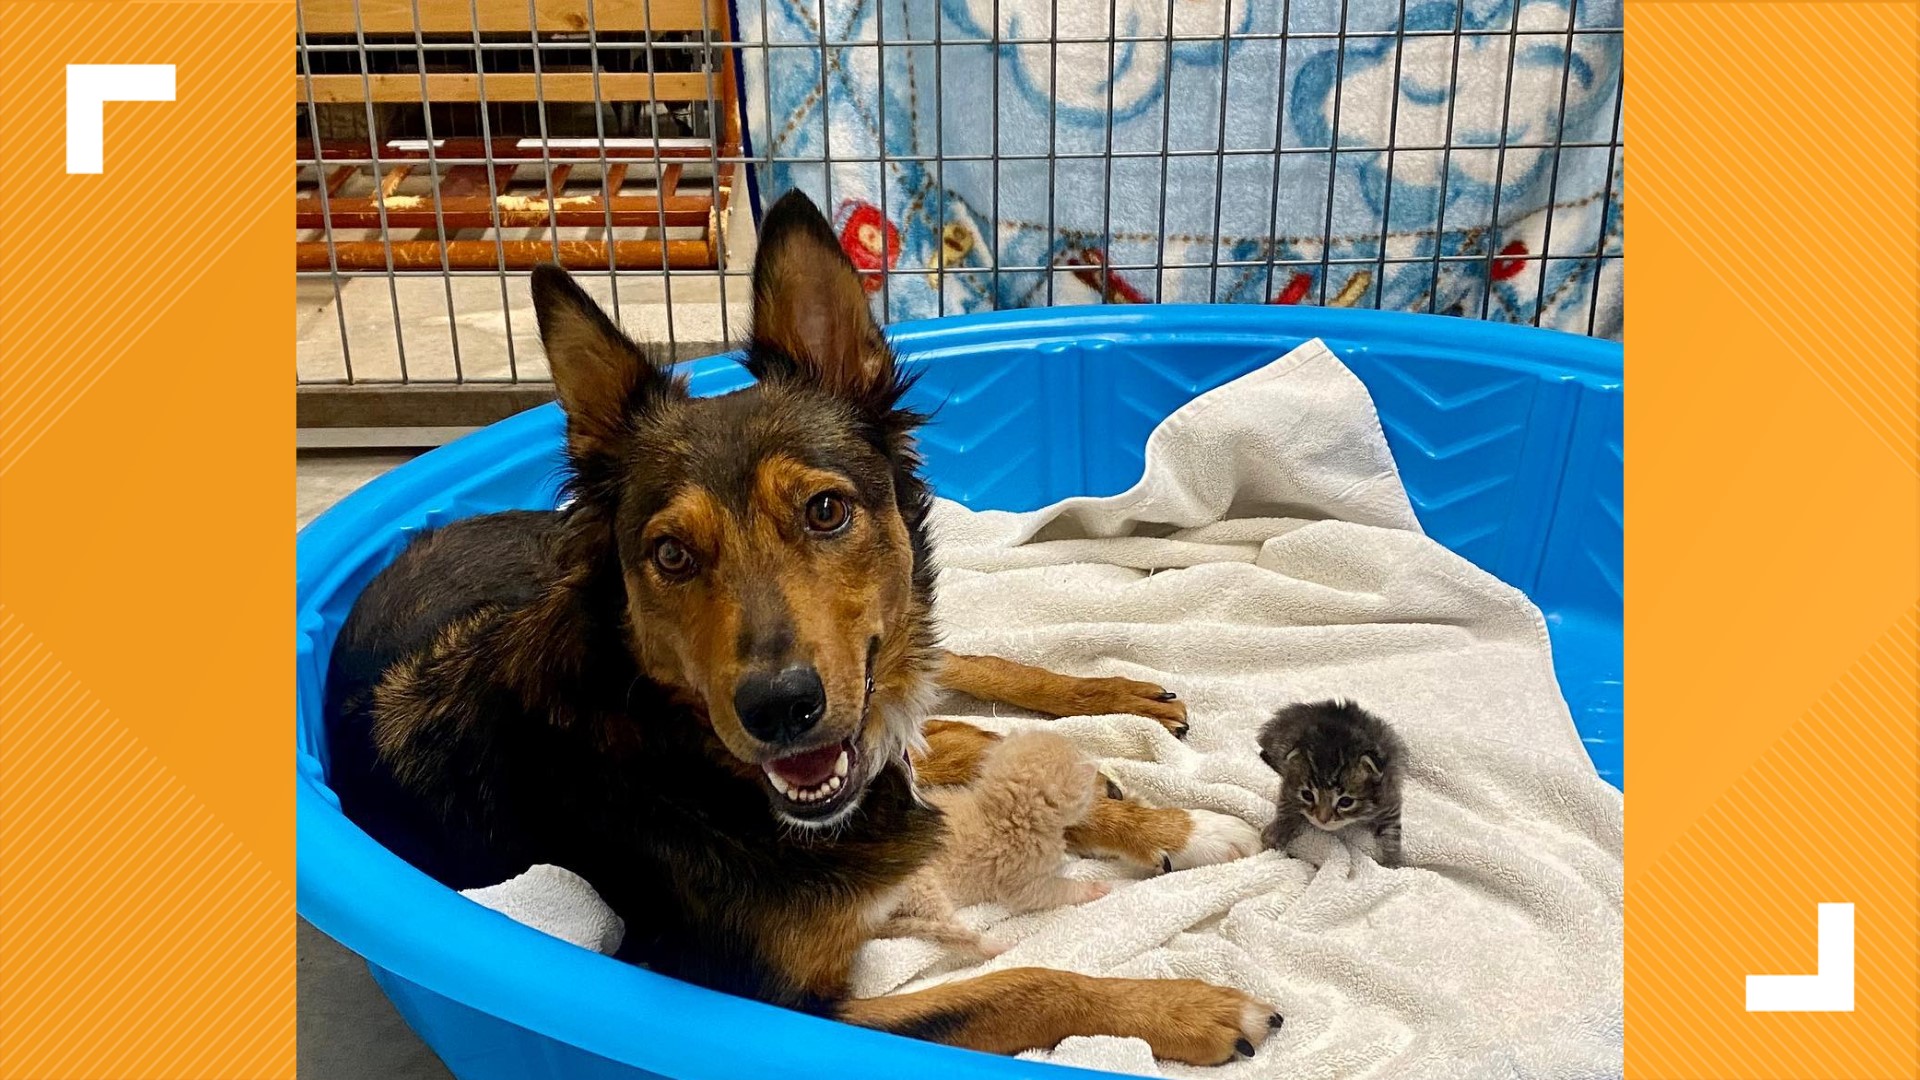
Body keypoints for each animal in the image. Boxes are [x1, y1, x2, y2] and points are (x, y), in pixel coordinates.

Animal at [326, 187, 1274, 1060]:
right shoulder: (775, 1000)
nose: (781, 709)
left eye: (825, 510)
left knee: (958, 685)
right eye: (670, 554)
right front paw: (1192, 1009)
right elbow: (1014, 987)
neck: (679, 750)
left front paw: (1173, 828)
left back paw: (1126, 712)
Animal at [1251, 699, 1405, 864]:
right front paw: (1278, 831)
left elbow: (1392, 832)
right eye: (1308, 795)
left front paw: (1392, 862)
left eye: (1345, 802)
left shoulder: (1389, 796)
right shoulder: (1289, 780)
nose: (1322, 819)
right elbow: (1287, 803)